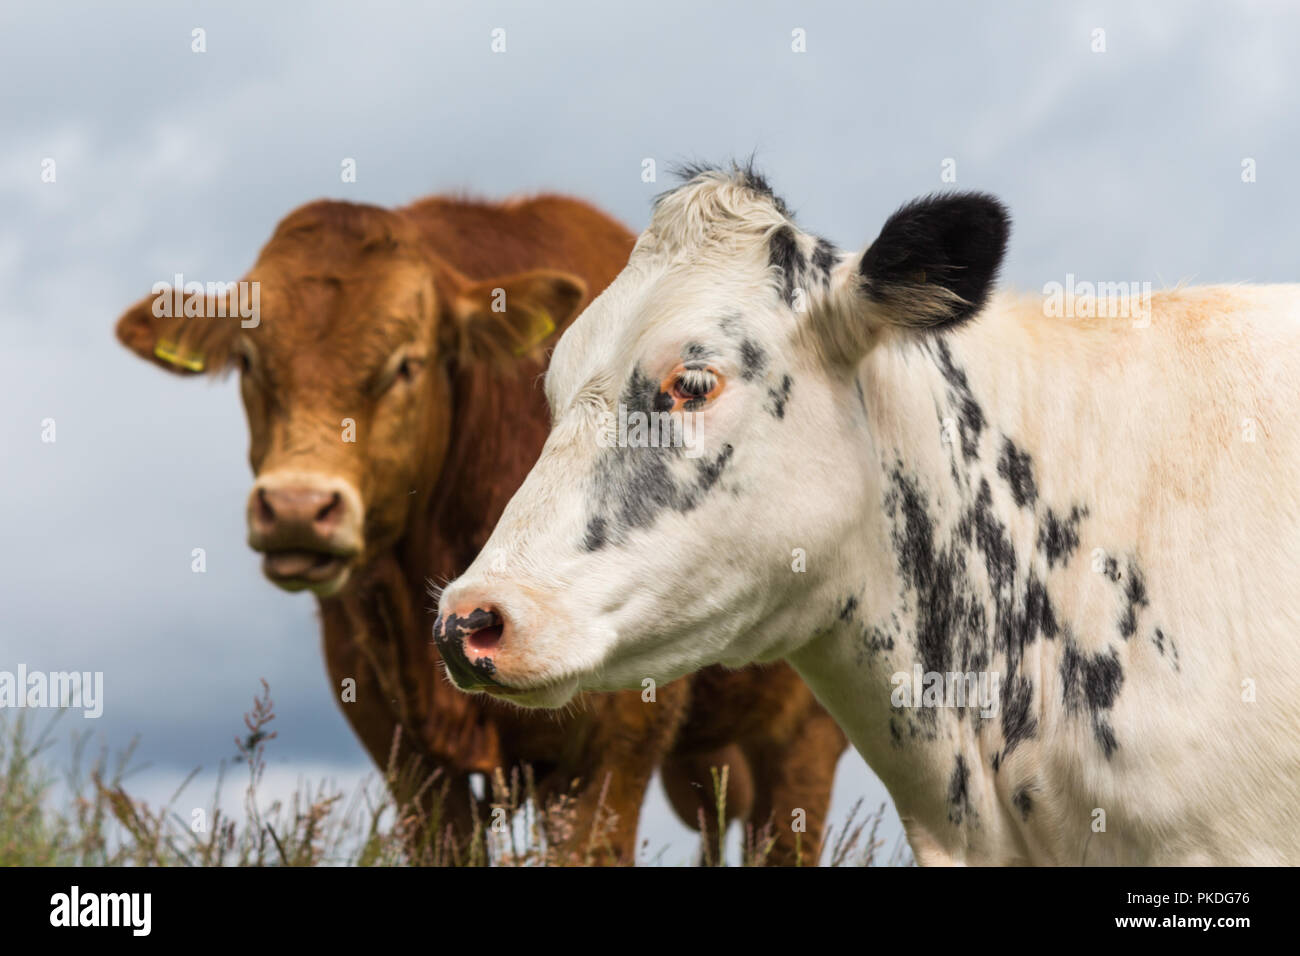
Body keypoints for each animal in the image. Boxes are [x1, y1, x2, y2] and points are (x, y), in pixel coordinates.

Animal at [111, 195, 842, 868]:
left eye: (406, 363)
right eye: (250, 360)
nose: (296, 506)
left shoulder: (613, 749)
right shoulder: (406, 756)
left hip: (806, 741)